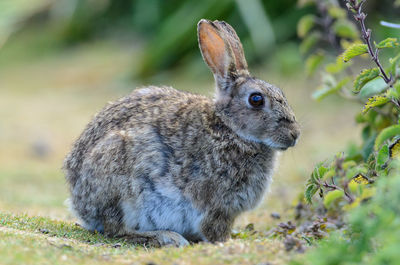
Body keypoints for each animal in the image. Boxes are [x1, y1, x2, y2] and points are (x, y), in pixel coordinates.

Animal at [63, 19, 300, 248]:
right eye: (256, 99)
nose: (295, 134)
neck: (229, 128)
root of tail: (79, 203)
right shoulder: (218, 206)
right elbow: (214, 229)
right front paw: (228, 243)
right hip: (119, 180)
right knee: (116, 229)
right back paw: (166, 237)